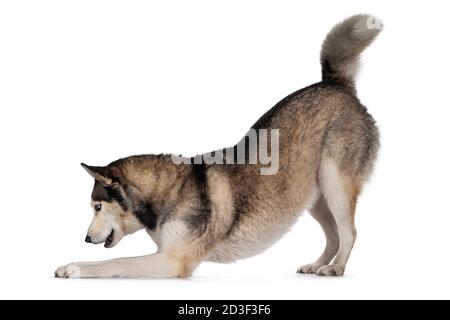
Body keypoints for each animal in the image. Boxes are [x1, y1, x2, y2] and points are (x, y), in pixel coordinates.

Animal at [54, 14, 382, 278]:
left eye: (97, 206)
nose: (85, 239)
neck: (166, 194)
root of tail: (335, 84)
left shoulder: (173, 261)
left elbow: (115, 263)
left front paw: (74, 267)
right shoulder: (166, 253)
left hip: (334, 184)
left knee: (349, 232)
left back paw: (336, 267)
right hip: (313, 195)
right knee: (334, 235)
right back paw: (318, 264)